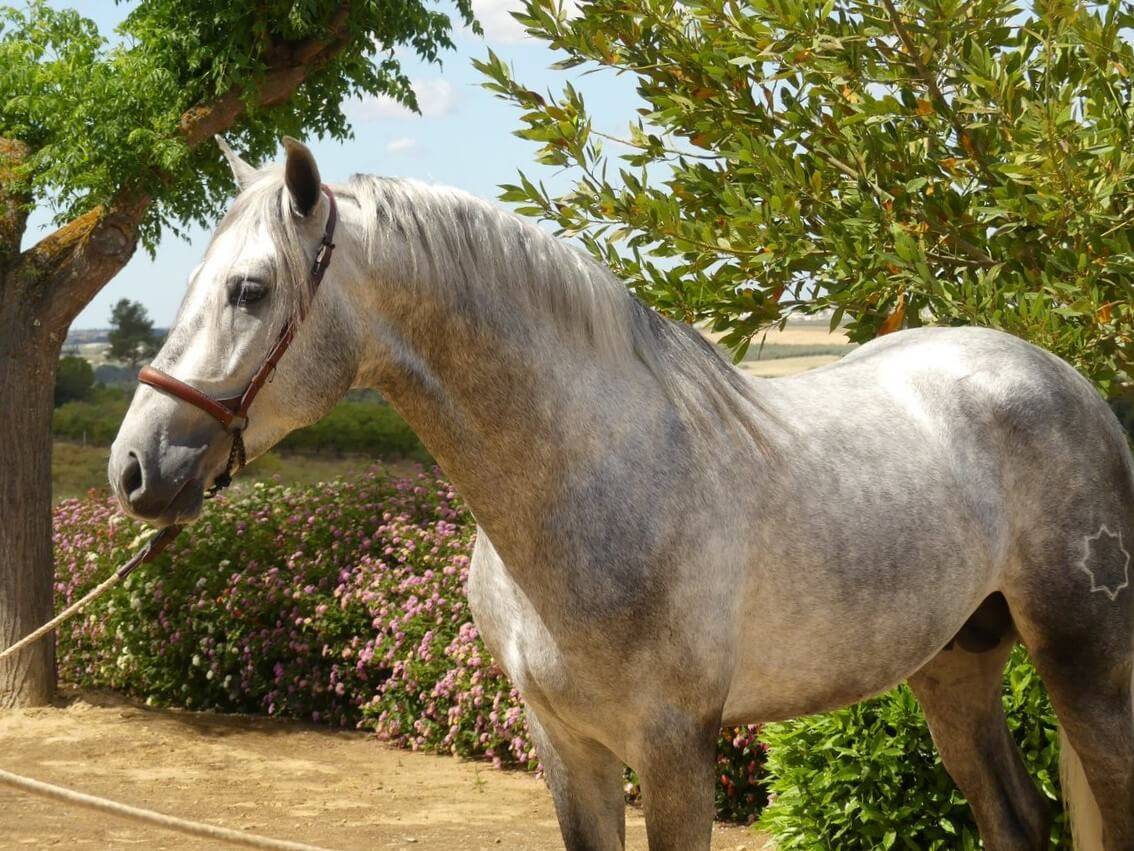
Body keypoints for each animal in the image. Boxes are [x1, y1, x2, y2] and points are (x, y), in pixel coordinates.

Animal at [108, 137, 1134, 850]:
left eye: (249, 289)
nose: (134, 468)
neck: (590, 482)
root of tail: (1071, 386)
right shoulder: (569, 745)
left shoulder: (677, 748)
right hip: (956, 664)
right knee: (1016, 818)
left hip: (1088, 663)